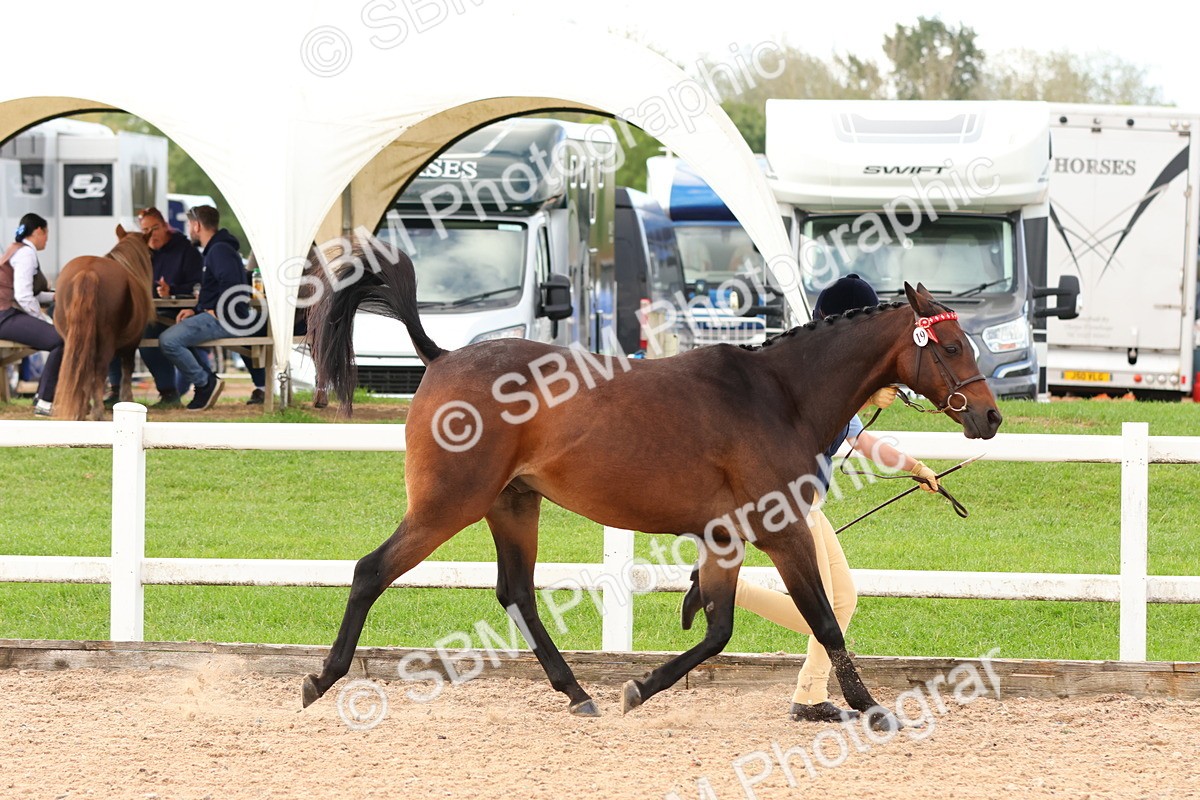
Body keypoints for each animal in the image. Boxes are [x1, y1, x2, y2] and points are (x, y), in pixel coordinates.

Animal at [53, 225, 154, 420]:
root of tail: (88, 271)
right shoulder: (132, 343)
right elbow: (127, 370)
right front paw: (127, 399)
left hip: (71, 338)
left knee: (80, 369)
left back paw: (81, 409)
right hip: (106, 340)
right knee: (98, 371)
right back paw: (97, 412)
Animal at [300, 237, 1002, 726]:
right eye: (953, 348)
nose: (990, 417)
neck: (779, 394)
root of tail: (441, 357)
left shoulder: (724, 538)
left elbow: (719, 630)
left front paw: (640, 686)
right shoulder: (781, 531)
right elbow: (824, 622)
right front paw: (872, 709)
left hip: (513, 506)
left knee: (516, 593)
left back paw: (578, 694)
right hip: (449, 503)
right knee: (370, 571)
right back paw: (320, 680)